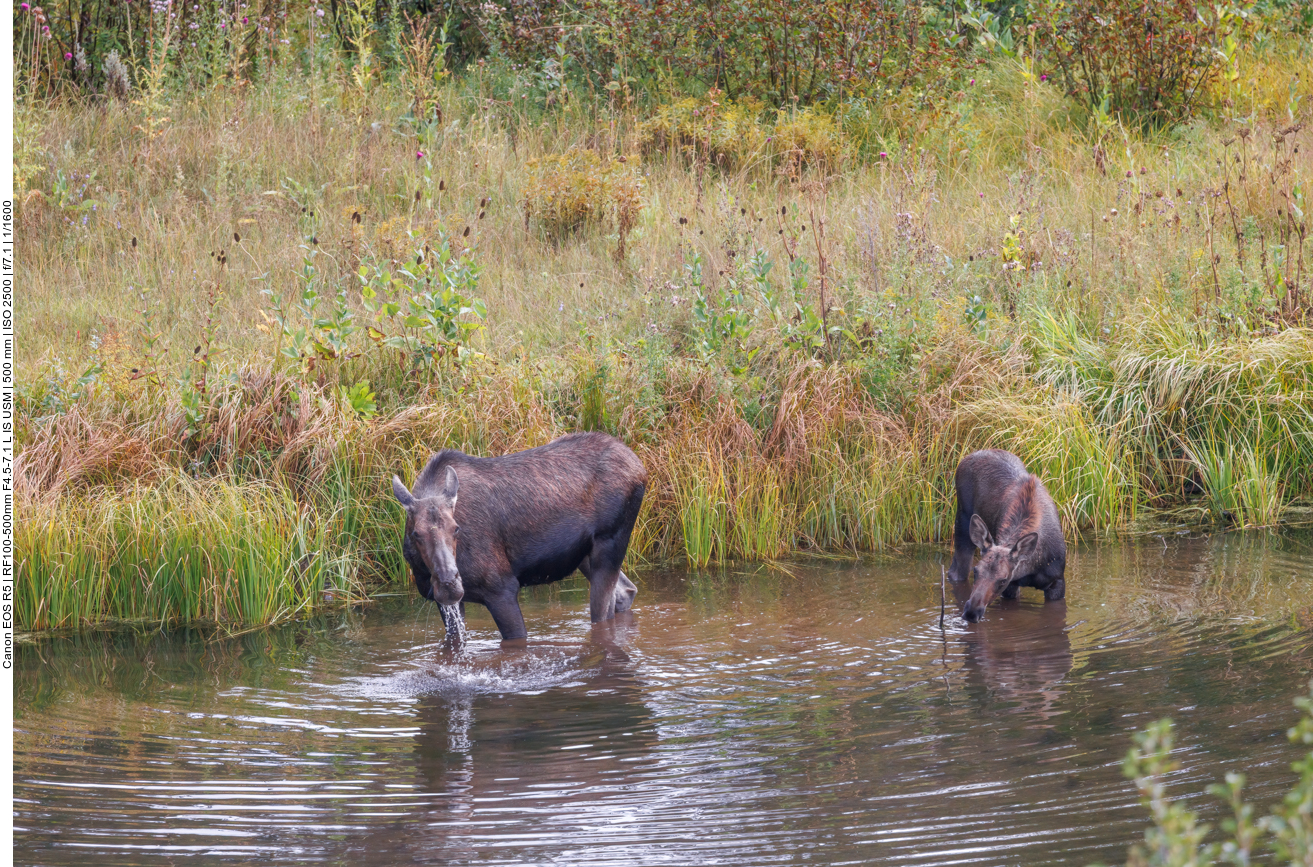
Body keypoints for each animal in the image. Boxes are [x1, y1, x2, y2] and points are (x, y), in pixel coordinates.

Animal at [393, 430, 651, 641]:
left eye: (456, 528)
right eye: (416, 533)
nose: (448, 582)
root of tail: (641, 468)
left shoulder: (502, 589)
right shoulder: (444, 602)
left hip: (611, 543)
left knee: (604, 613)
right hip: (584, 554)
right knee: (625, 591)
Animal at [950, 446, 1071, 622]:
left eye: (1002, 580)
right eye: (976, 571)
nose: (971, 613)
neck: (1032, 567)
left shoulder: (1057, 583)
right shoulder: (1011, 587)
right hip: (962, 522)